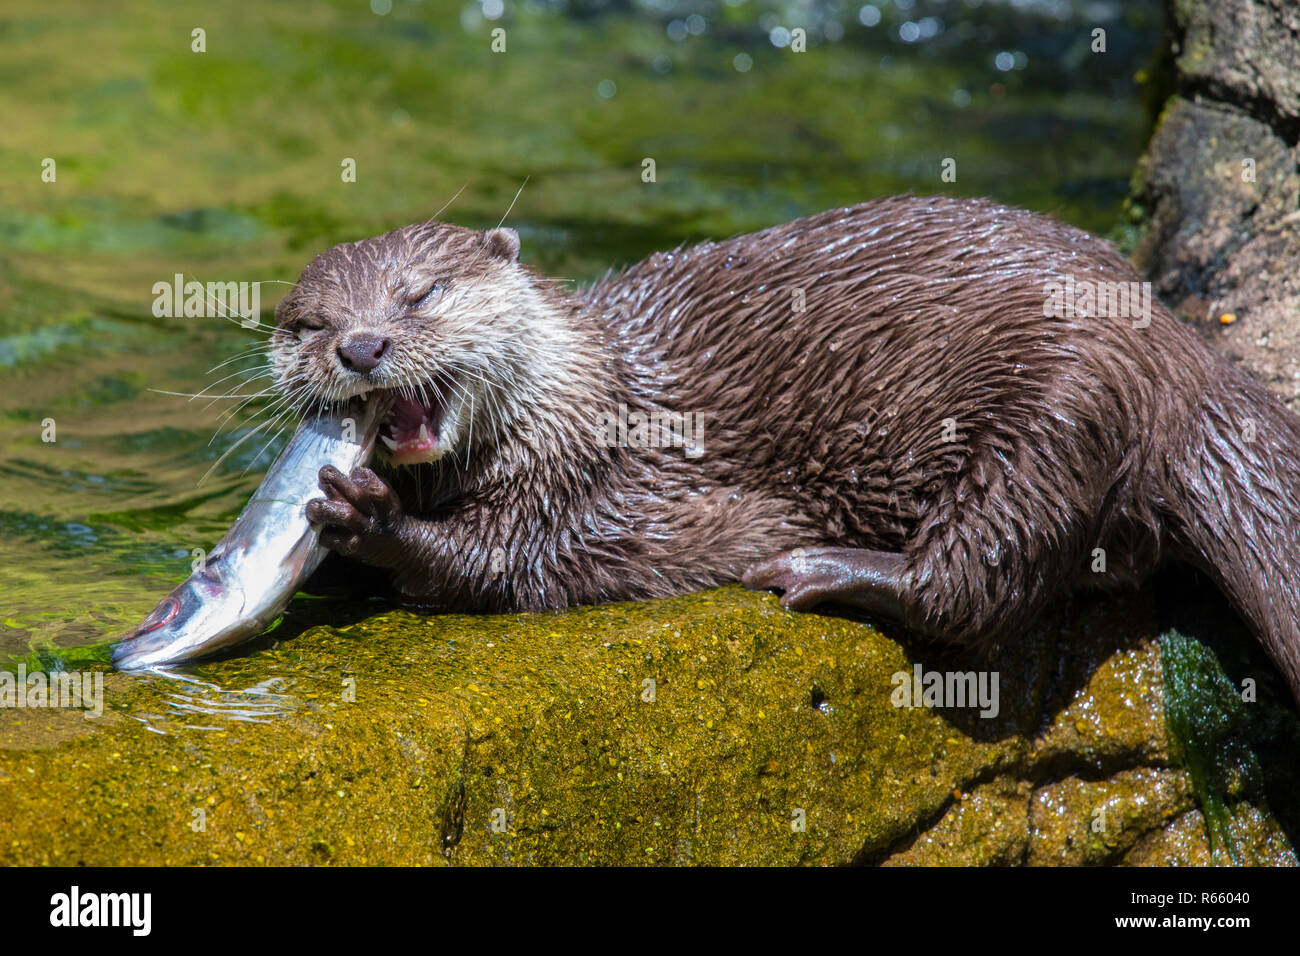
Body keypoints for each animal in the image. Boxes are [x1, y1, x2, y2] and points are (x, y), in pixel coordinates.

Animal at [269, 192, 1300, 702]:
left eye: (422, 293)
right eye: (306, 324)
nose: (361, 347)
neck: (586, 398)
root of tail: (1179, 355)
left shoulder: (599, 484)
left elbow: (504, 564)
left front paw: (370, 520)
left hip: (1054, 407)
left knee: (982, 581)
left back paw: (824, 568)